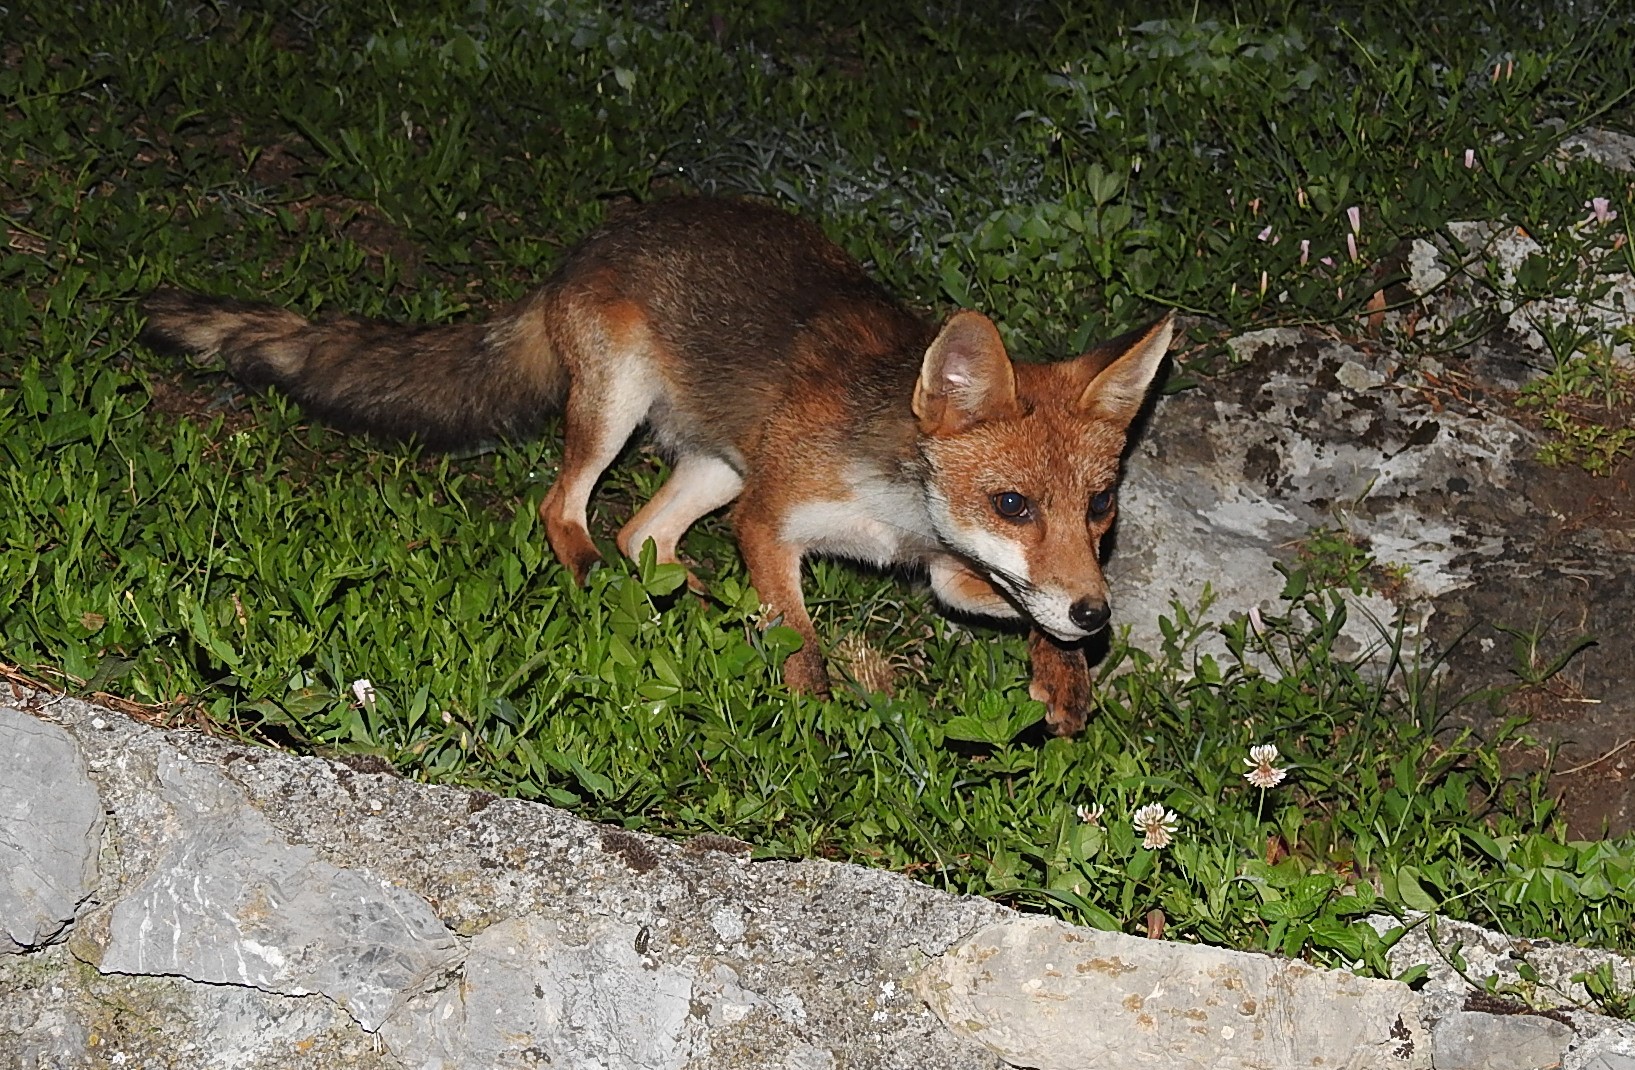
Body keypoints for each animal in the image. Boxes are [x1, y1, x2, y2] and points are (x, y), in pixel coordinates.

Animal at [139, 196, 1174, 735]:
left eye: (1100, 506)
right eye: (1011, 503)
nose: (1100, 614)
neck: (901, 508)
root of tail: (588, 245)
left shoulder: (943, 570)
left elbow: (1013, 604)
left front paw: (1062, 678)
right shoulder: (771, 519)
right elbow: (803, 647)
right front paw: (816, 720)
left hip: (715, 465)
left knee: (647, 538)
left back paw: (697, 606)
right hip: (620, 413)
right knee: (566, 512)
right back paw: (613, 582)